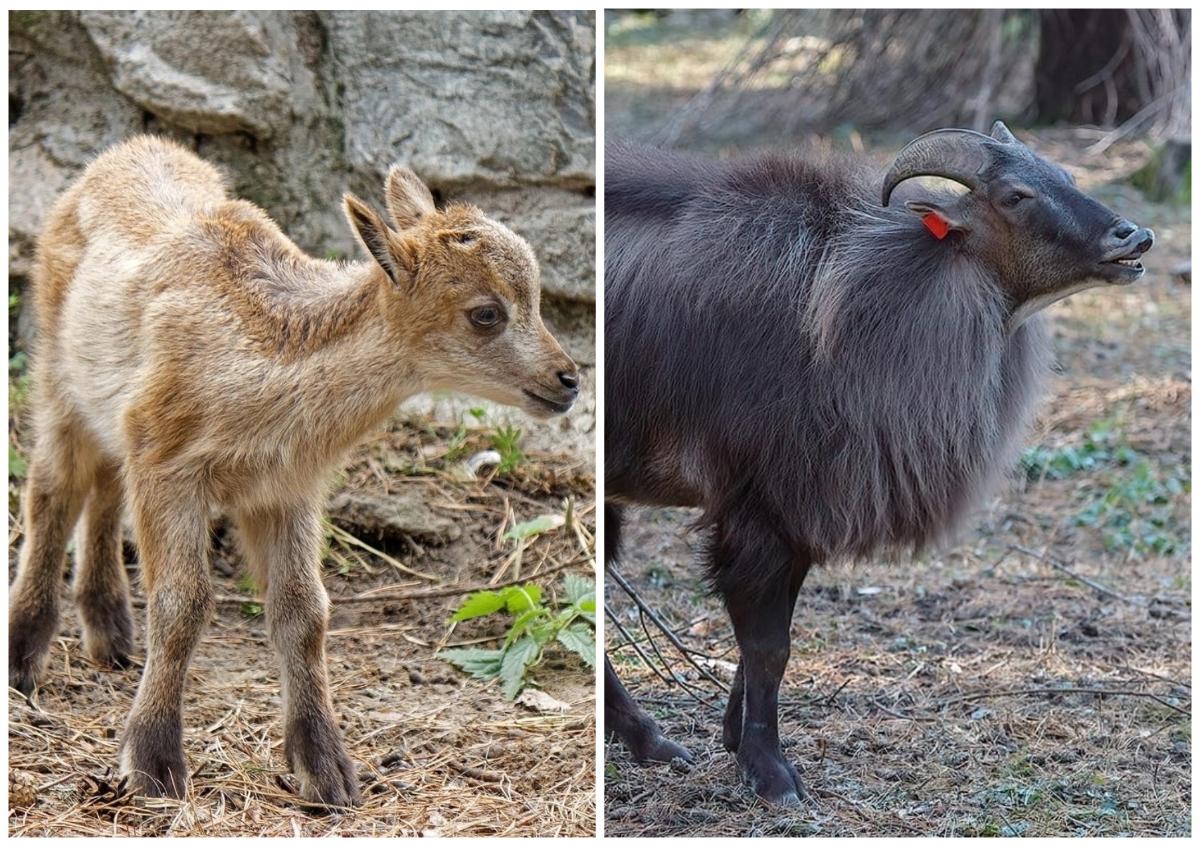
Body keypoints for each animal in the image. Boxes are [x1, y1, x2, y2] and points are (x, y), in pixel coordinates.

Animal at [8, 136, 580, 806]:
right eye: (485, 313)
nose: (568, 380)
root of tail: (121, 152)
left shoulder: (285, 490)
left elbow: (305, 613)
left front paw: (328, 772)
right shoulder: (166, 463)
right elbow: (181, 605)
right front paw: (152, 765)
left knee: (101, 488)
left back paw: (111, 636)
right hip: (57, 374)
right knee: (53, 489)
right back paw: (22, 658)